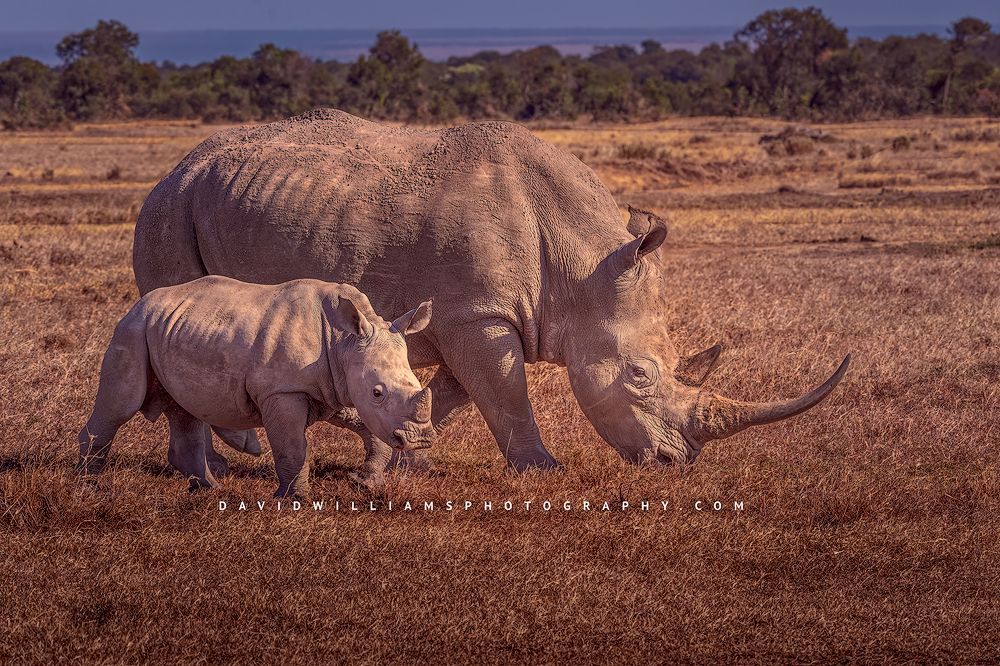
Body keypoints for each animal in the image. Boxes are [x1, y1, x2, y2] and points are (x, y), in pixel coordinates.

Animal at [78, 275, 434, 496]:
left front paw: (365, 482)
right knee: (121, 406)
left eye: (416, 381)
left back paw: (209, 490)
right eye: (377, 392)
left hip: (174, 328)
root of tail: (138, 304)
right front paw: (294, 501)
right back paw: (89, 486)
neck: (343, 341)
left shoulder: (336, 384)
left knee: (184, 411)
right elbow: (292, 446)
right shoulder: (284, 390)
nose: (419, 439)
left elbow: (366, 425)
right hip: (133, 330)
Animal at [132, 109, 850, 481]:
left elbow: (450, 395)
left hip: (212, 199)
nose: (677, 463)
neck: (582, 267)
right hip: (169, 209)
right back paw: (208, 472)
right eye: (641, 375)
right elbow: (505, 395)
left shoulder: (467, 317)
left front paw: (386, 467)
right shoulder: (478, 315)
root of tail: (176, 166)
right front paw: (543, 472)